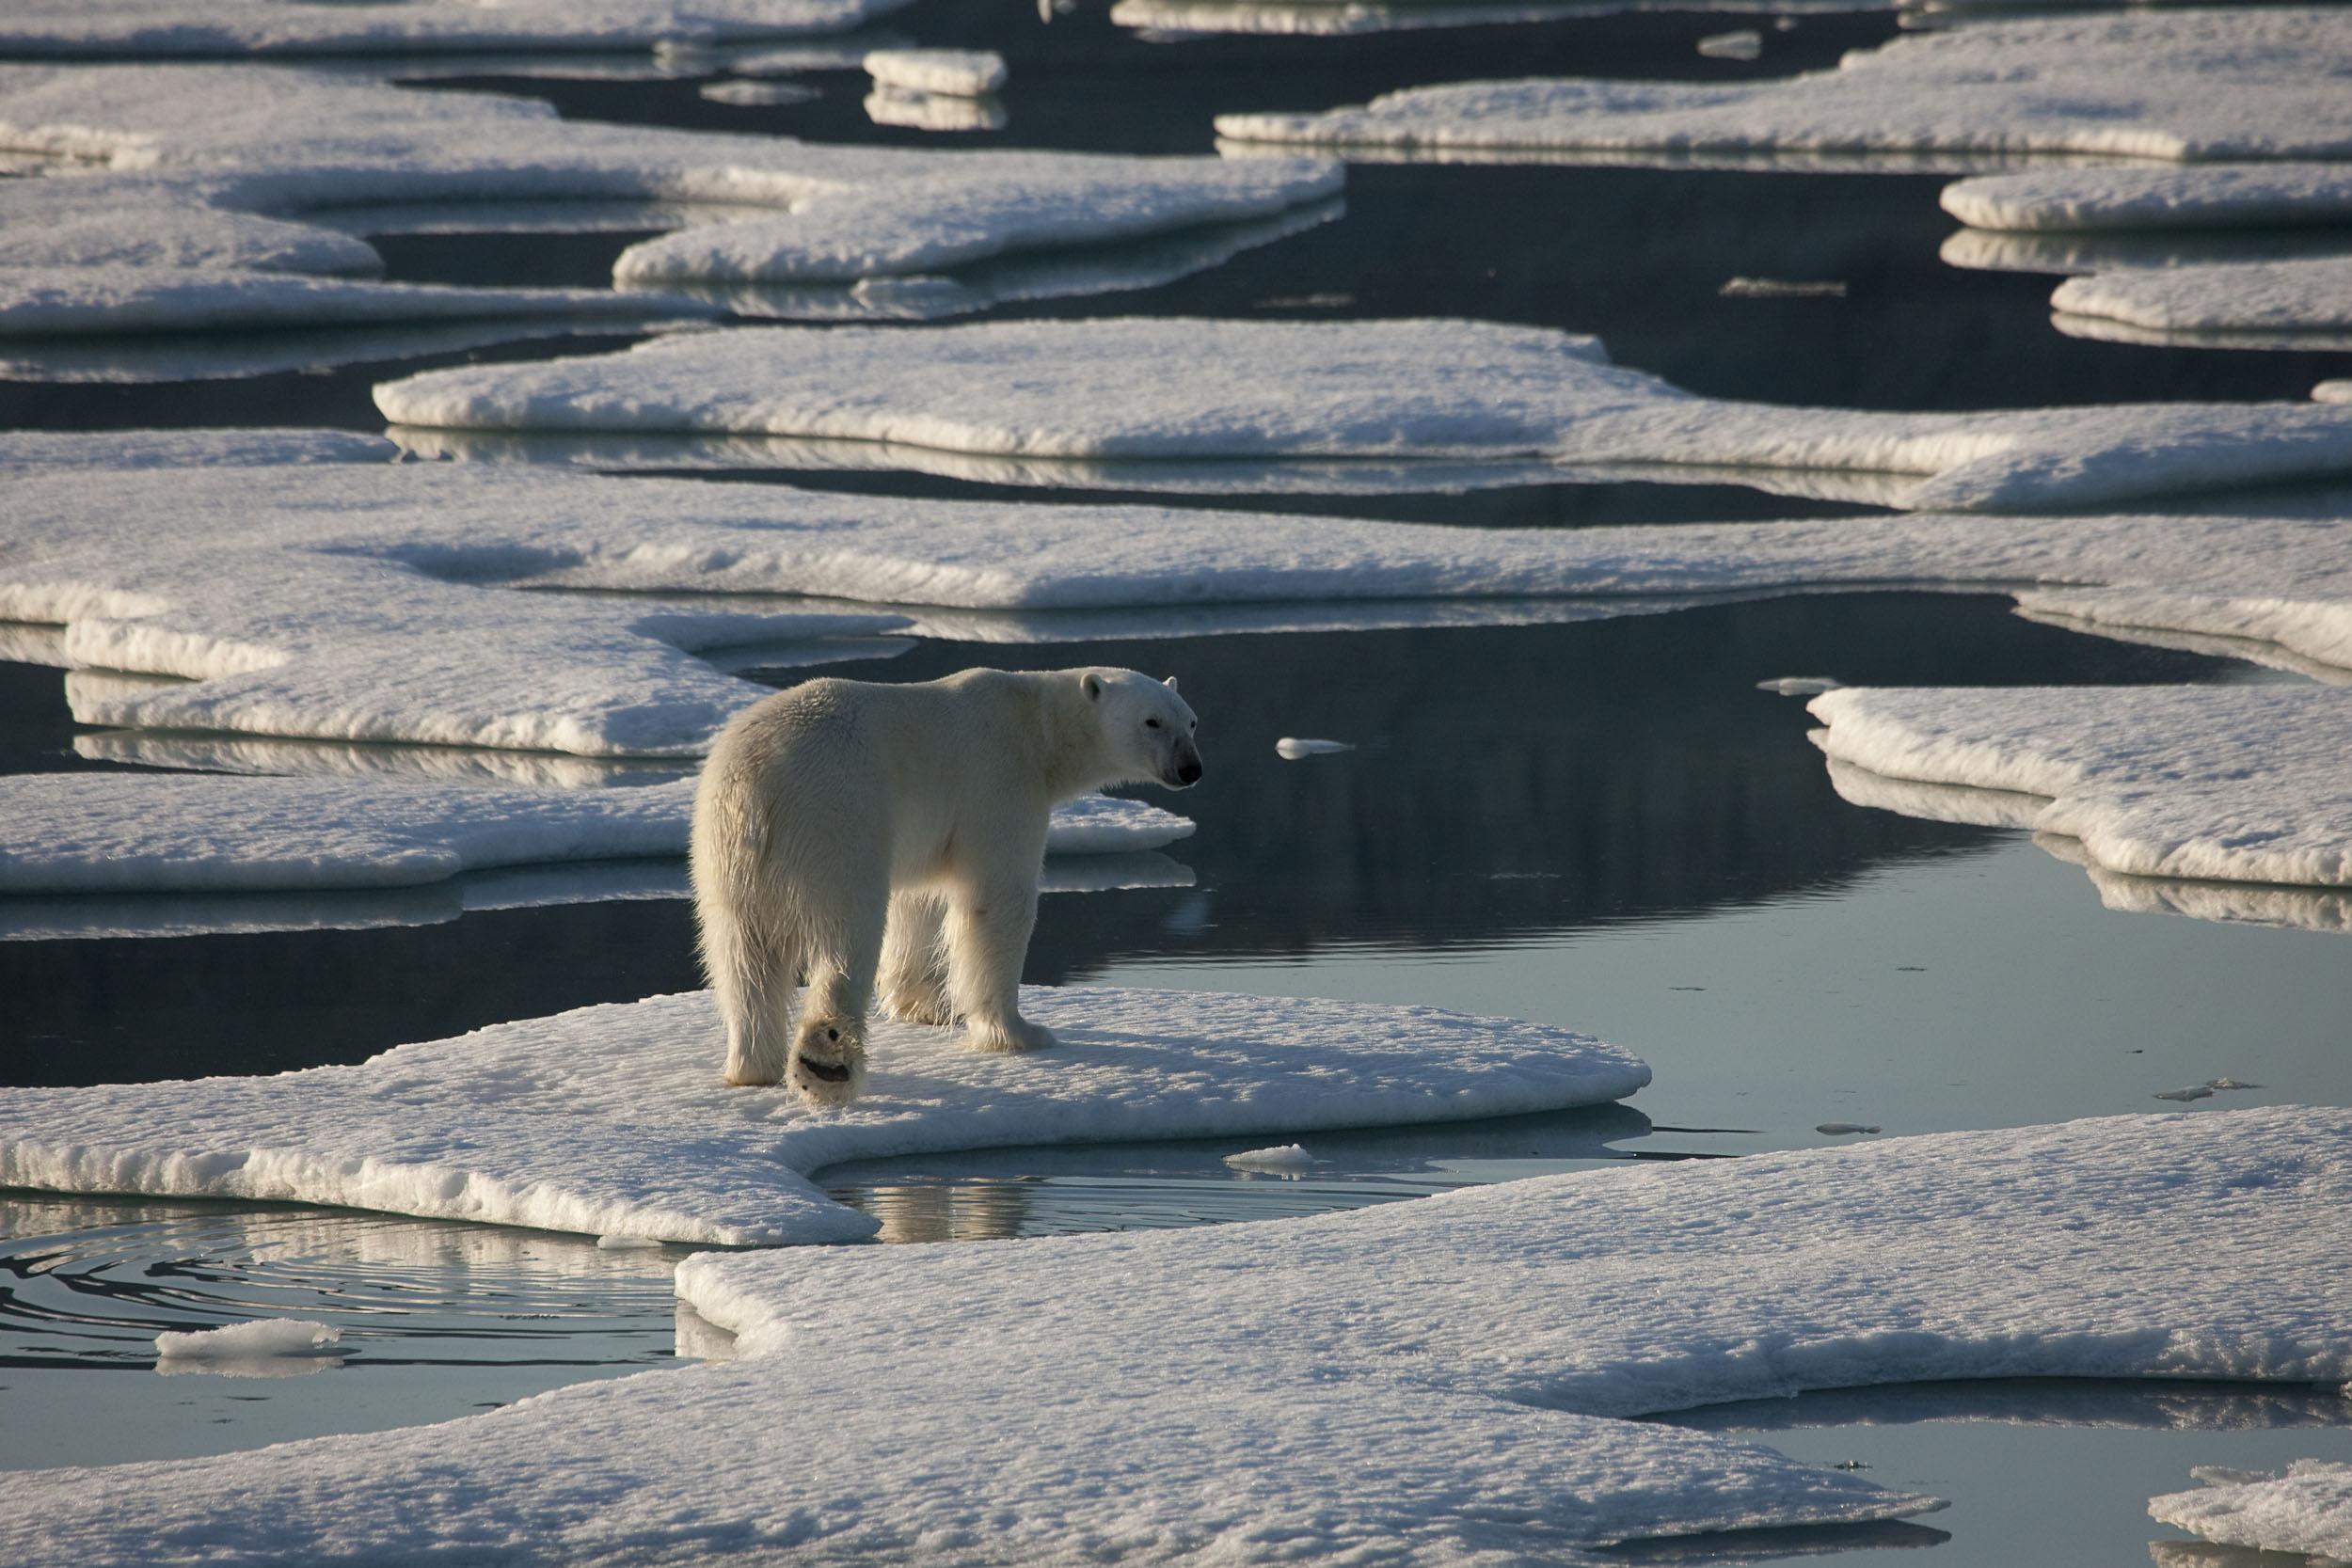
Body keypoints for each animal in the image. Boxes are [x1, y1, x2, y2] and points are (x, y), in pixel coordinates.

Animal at [682, 667, 1195, 1109]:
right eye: (1152, 721)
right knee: (847, 934)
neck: (1036, 725)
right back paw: (826, 1064)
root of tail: (757, 786)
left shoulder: (928, 829)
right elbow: (997, 902)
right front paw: (1019, 1033)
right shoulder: (999, 782)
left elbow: (919, 900)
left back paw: (751, 1065)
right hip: (835, 819)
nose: (1192, 768)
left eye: (1191, 720)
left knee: (739, 953)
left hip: (721, 851)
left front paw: (923, 1007)